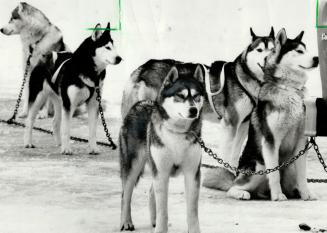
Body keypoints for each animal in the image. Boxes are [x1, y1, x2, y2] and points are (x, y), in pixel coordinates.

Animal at [23, 23, 121, 155]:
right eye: (107, 47)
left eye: (114, 47)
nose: (119, 58)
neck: (88, 70)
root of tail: (45, 57)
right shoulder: (70, 104)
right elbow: (66, 129)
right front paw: (66, 149)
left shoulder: (93, 103)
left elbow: (92, 130)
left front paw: (93, 148)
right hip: (39, 98)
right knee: (29, 121)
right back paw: (28, 143)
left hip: (60, 101)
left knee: (55, 122)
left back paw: (59, 143)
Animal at [120, 64, 205, 232]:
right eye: (180, 96)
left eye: (197, 96)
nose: (193, 110)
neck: (177, 133)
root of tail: (141, 102)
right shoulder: (162, 172)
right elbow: (163, 211)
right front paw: (161, 228)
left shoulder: (191, 173)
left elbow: (192, 212)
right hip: (134, 166)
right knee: (125, 194)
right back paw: (126, 222)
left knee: (151, 191)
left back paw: (153, 220)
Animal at [228, 28, 320, 200]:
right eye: (299, 51)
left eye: (307, 50)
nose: (317, 59)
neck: (290, 89)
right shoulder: (271, 141)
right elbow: (275, 173)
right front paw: (277, 196)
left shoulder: (300, 142)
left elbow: (303, 175)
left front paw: (307, 194)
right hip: (259, 166)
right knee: (232, 187)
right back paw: (242, 193)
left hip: (290, 167)